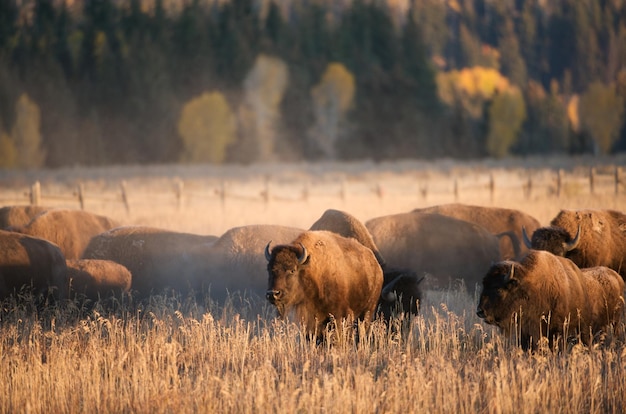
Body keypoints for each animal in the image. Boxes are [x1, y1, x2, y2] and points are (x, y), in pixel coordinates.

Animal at [476, 251, 620, 350]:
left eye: (498, 289)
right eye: (484, 285)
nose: (480, 311)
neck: (529, 288)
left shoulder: (556, 331)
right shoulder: (525, 332)